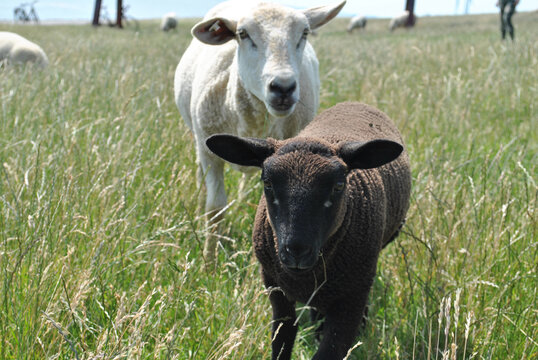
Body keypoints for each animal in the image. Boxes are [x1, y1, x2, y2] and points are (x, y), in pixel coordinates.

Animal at [174, 0, 346, 262]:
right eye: (243, 34)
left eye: (304, 33)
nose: (283, 87)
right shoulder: (209, 151)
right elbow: (215, 209)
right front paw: (209, 262)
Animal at [205, 101, 410, 360]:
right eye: (267, 183)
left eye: (339, 186)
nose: (296, 251)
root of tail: (355, 102)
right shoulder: (275, 286)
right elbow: (282, 337)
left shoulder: (353, 295)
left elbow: (330, 349)